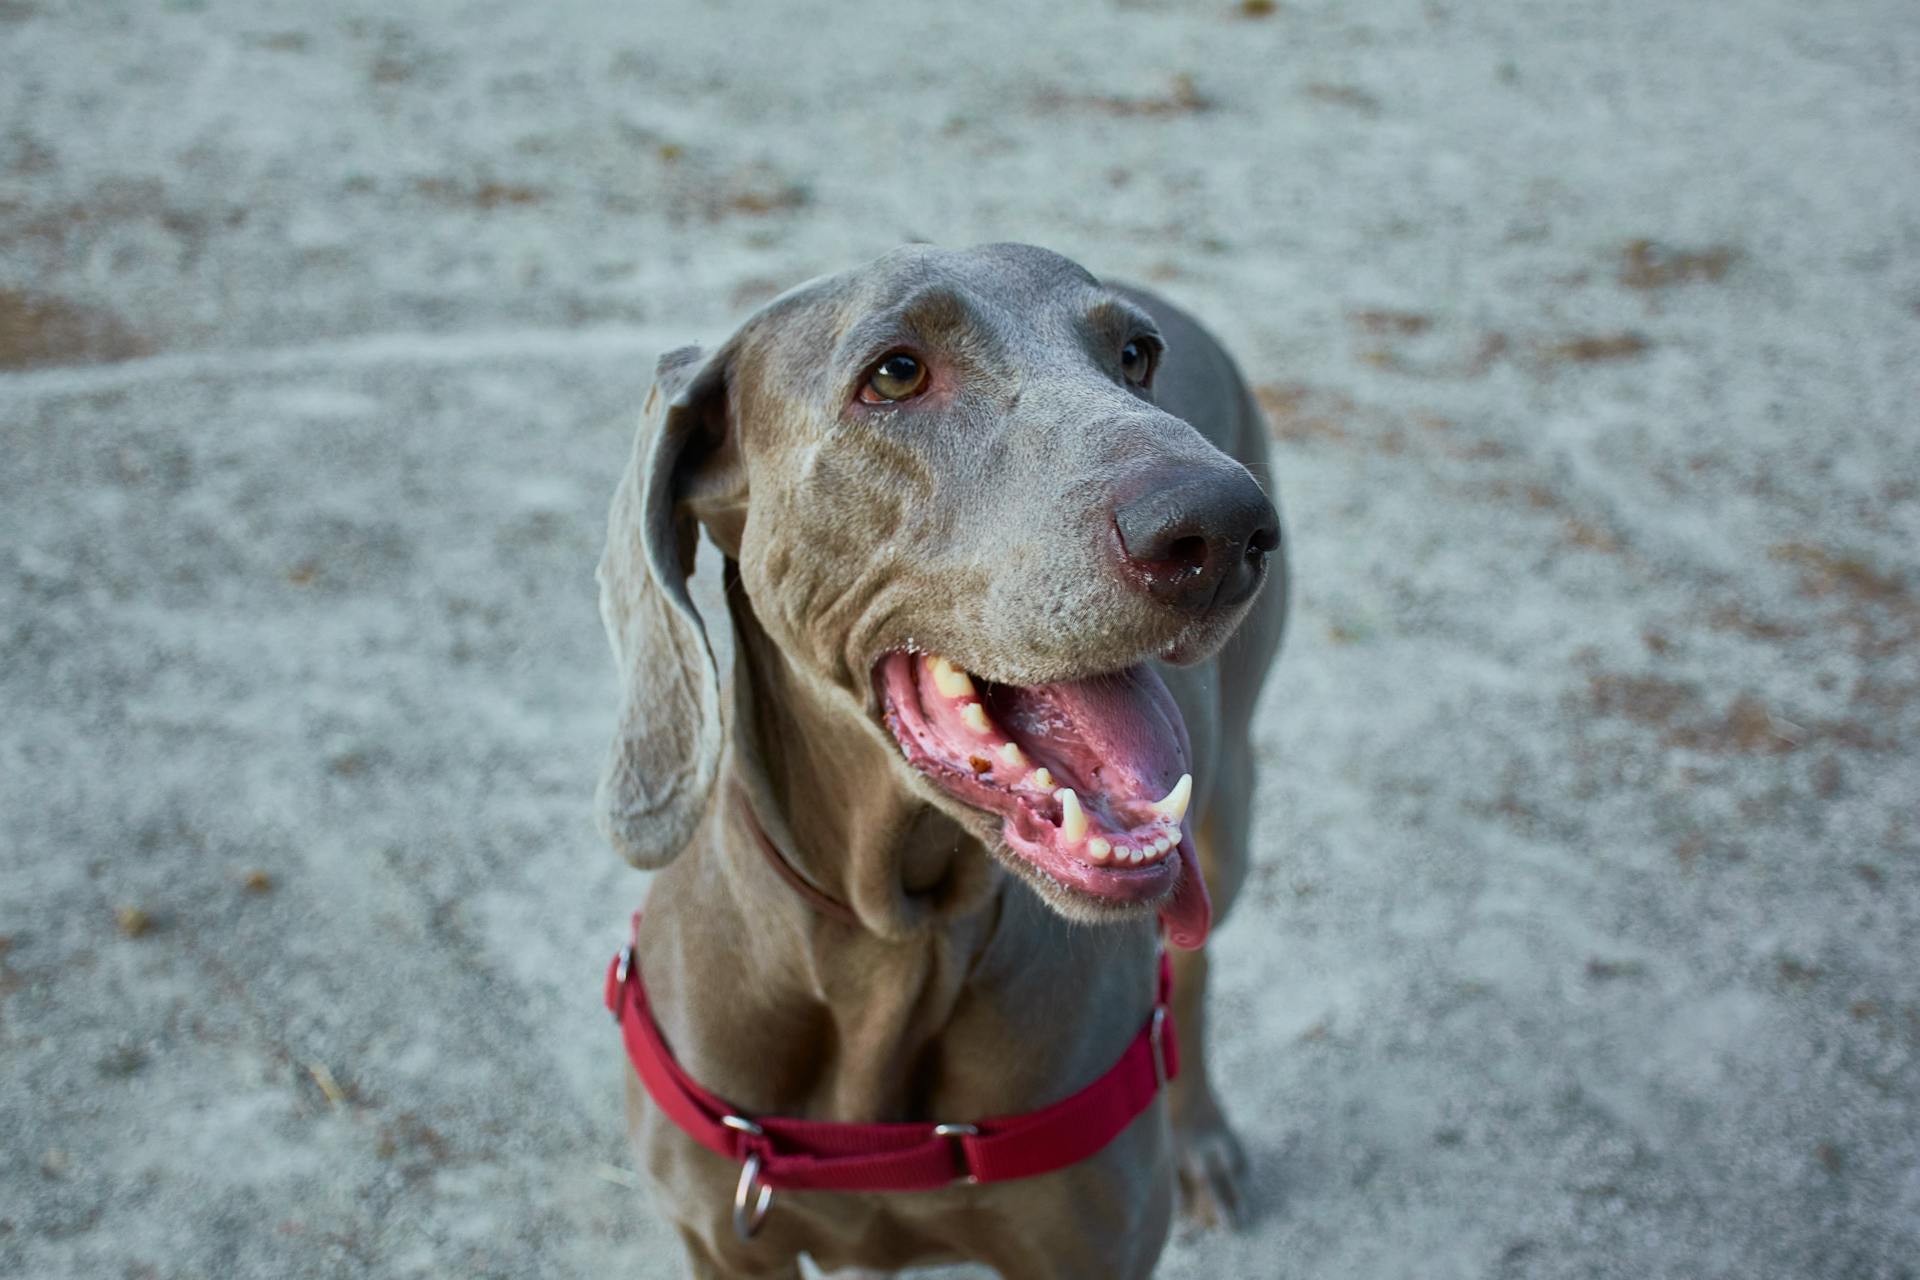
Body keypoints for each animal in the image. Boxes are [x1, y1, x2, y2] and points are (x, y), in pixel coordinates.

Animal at [595, 242, 1290, 1280]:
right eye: (894, 374)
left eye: (1136, 356)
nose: (1227, 525)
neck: (891, 941)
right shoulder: (722, 1240)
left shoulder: (1092, 1248)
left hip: (1229, 813)